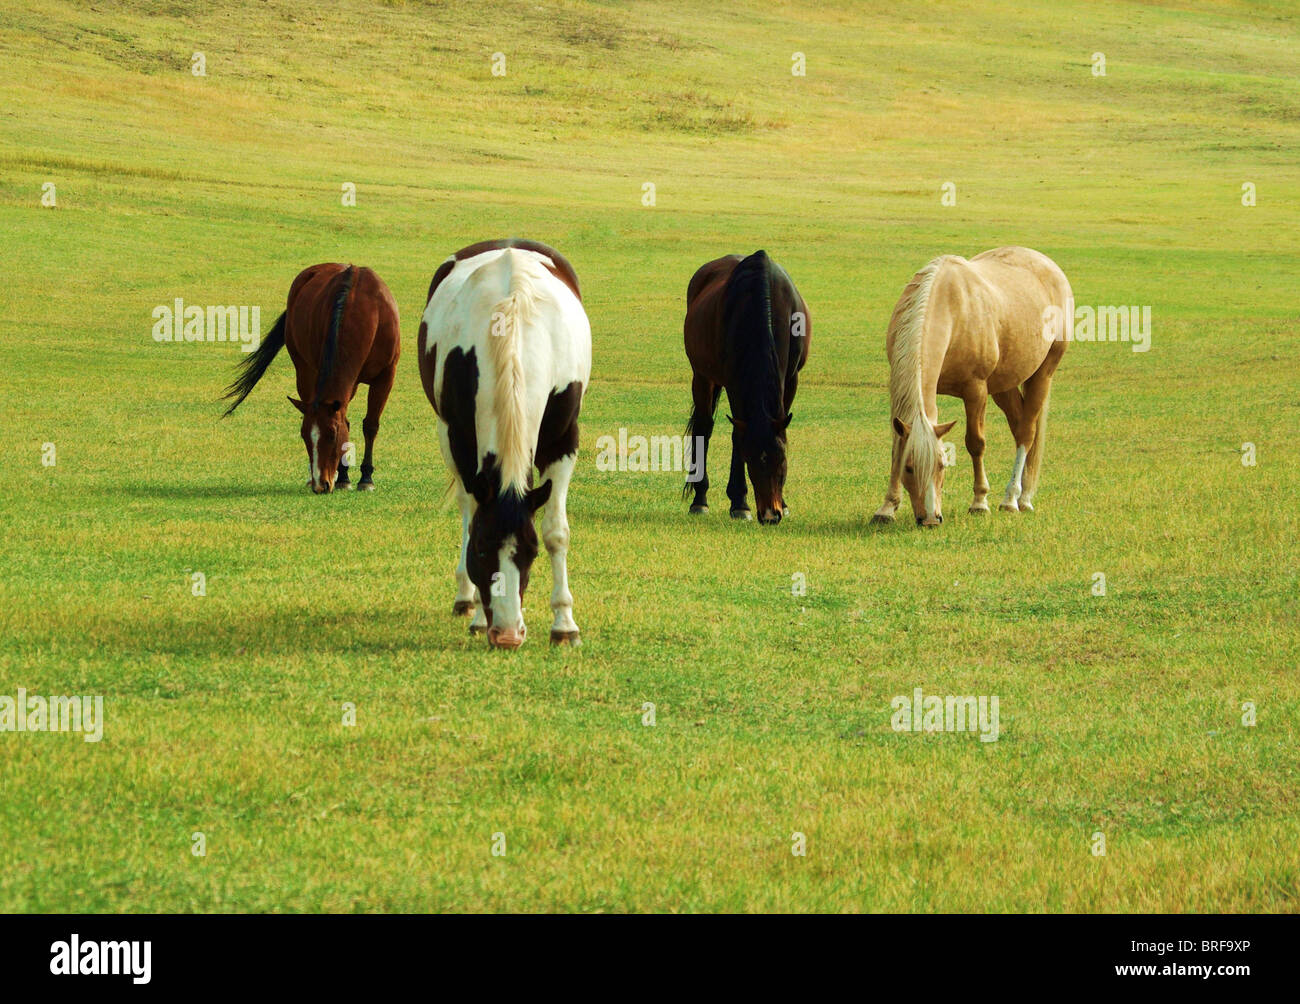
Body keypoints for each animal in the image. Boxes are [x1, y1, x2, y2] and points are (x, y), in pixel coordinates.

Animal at [222, 263, 400, 493]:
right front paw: (343, 476)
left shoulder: (386, 376)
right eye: (304, 435)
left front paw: (366, 478)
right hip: (304, 369)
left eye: (332, 435)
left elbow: (370, 425)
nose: (320, 485)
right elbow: (347, 422)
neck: (365, 312)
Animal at [418, 239, 591, 650]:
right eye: (482, 549)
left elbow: (557, 531)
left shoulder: (564, 440)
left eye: (530, 551)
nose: (509, 634)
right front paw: (481, 615)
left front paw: (564, 623)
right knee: (465, 506)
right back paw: (466, 599)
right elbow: (472, 515)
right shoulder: (460, 440)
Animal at [682, 250, 810, 525]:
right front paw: (740, 502)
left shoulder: (791, 378)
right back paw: (700, 499)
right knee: (704, 427)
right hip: (701, 375)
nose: (770, 515)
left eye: (782, 461)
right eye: (750, 461)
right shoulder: (733, 381)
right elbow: (736, 434)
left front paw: (783, 503)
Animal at [870, 246, 1071, 527]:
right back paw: (1021, 495)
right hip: (1003, 386)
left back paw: (1014, 499)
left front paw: (979, 502)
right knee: (1018, 426)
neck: (950, 308)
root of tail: (1048, 265)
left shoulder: (975, 390)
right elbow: (896, 447)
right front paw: (887, 508)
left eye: (942, 465)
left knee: (1026, 434)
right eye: (909, 468)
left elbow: (975, 443)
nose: (931, 518)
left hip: (1043, 374)